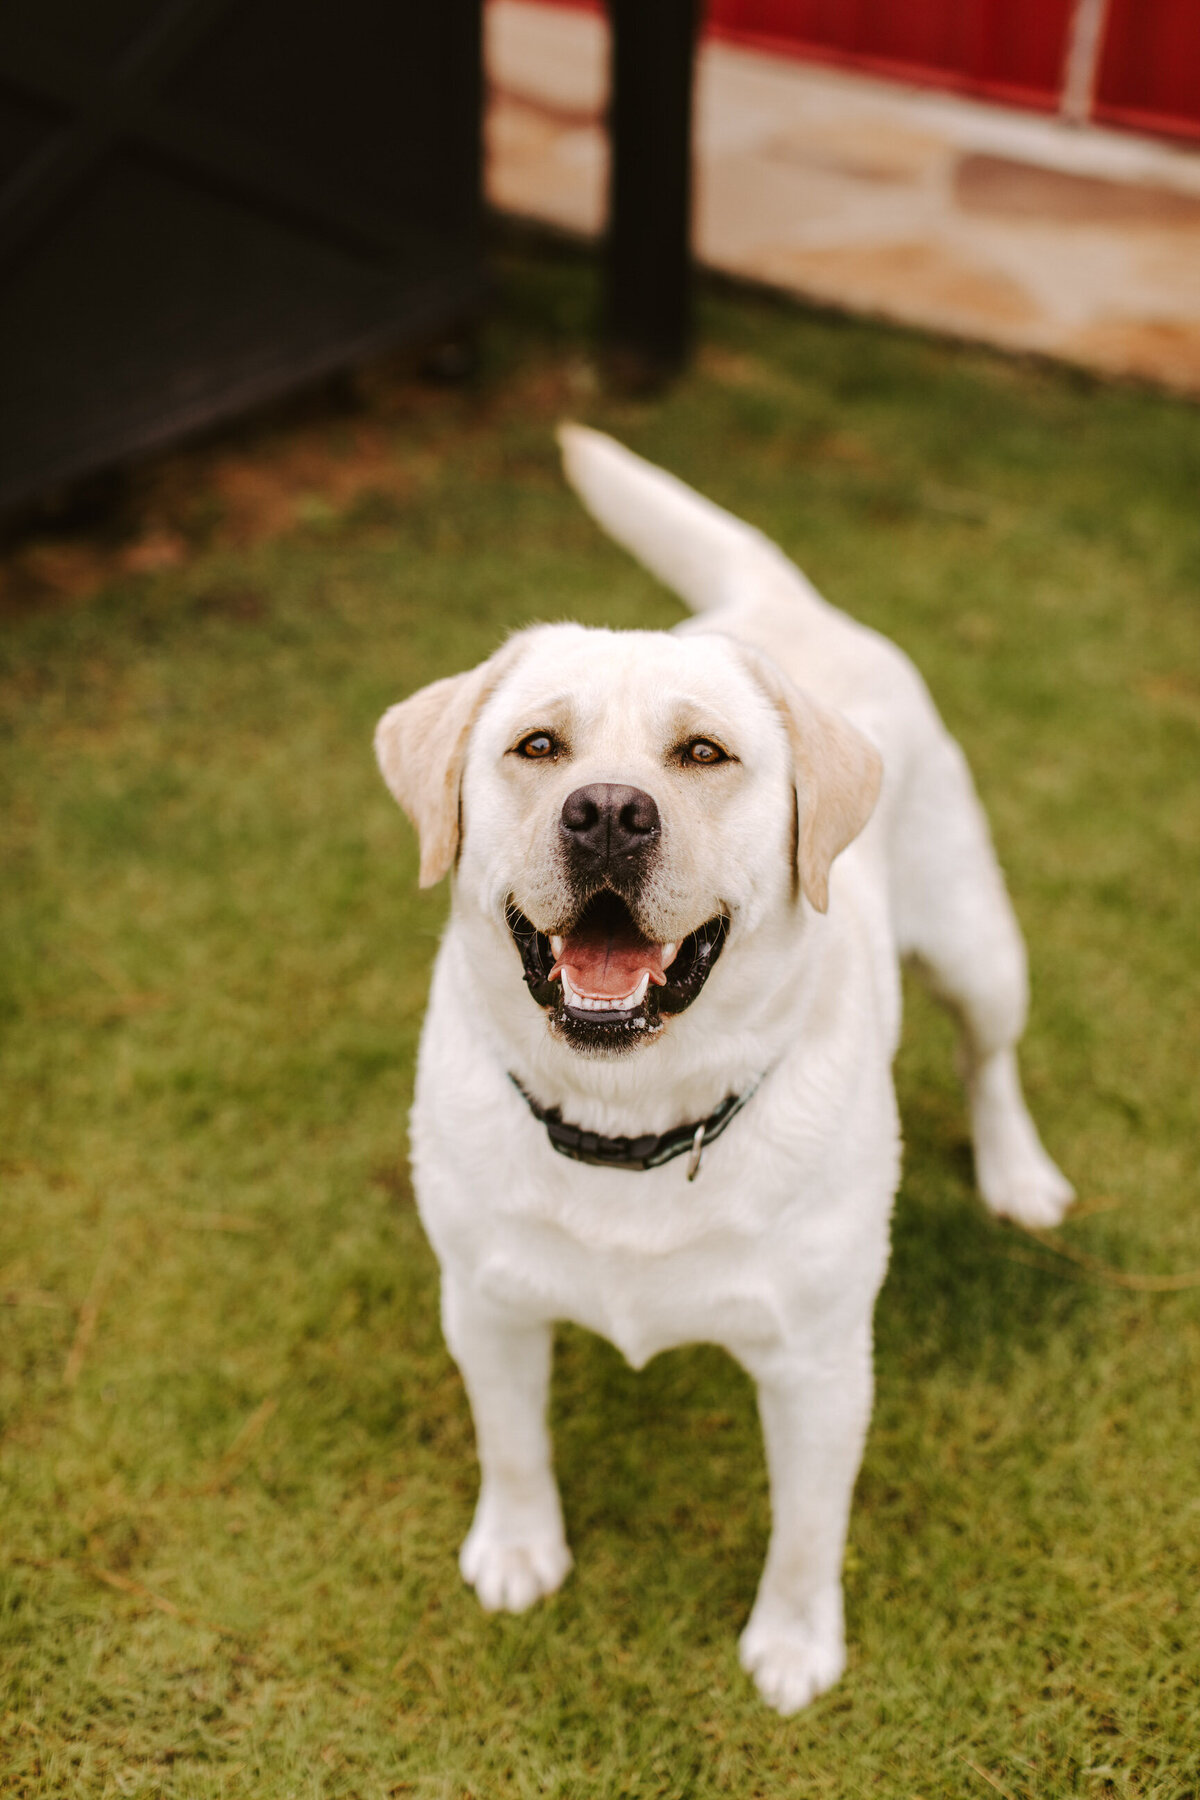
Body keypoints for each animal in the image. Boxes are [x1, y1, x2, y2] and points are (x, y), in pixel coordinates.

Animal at [376, 421, 1072, 1713]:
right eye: (537, 745)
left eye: (703, 753)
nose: (606, 811)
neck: (629, 1122)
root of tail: (778, 599)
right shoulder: (485, 1302)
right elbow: (514, 1443)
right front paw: (518, 1549)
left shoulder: (820, 1363)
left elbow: (805, 1529)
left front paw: (793, 1648)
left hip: (979, 944)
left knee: (989, 1054)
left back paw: (1017, 1173)